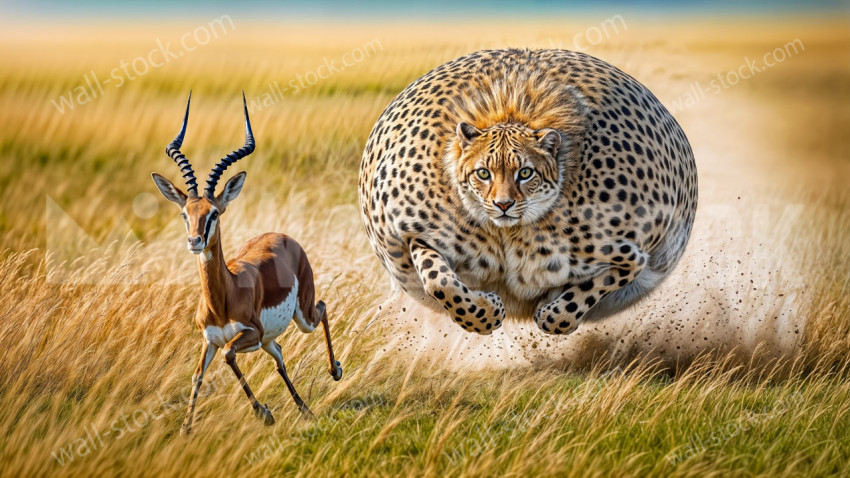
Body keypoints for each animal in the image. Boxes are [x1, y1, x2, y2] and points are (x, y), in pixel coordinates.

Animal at [151, 92, 343, 435]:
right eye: (185, 213)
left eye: (214, 213)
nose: (195, 241)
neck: (222, 299)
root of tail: (283, 236)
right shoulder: (209, 340)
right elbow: (197, 375)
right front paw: (186, 429)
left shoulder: (248, 333)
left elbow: (229, 355)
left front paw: (264, 413)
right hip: (268, 339)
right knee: (279, 356)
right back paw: (304, 410)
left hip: (301, 317)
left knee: (322, 307)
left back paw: (335, 371)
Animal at [358, 49, 697, 336]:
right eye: (483, 173)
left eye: (525, 173)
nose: (503, 204)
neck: (508, 234)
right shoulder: (416, 236)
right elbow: (439, 282)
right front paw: (486, 313)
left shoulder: (634, 256)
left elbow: (590, 289)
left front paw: (554, 315)